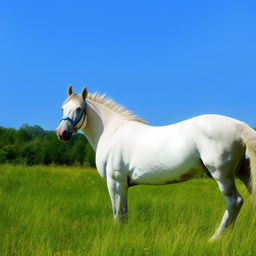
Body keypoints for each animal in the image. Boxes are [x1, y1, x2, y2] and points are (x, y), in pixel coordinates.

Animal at [56, 86, 256, 240]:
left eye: (79, 108)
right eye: (62, 108)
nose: (61, 133)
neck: (111, 131)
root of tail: (238, 125)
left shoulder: (116, 182)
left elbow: (118, 213)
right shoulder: (122, 184)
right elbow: (124, 212)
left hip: (222, 175)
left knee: (234, 202)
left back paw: (215, 238)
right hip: (242, 170)